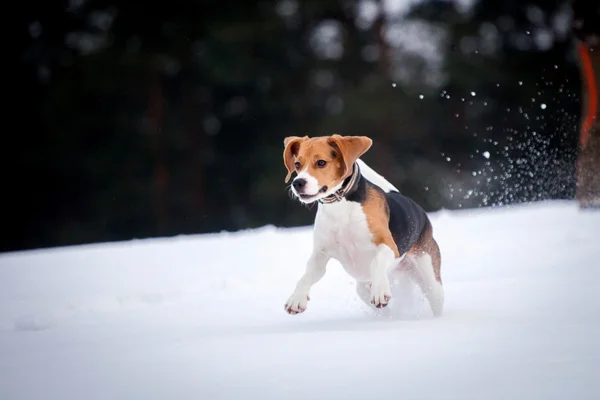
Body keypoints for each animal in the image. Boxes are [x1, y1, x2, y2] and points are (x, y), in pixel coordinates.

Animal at [284, 136, 442, 318]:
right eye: (297, 164)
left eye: (321, 162)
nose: (297, 183)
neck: (340, 204)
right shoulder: (320, 254)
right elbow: (307, 275)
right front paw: (297, 298)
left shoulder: (388, 244)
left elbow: (377, 262)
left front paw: (380, 290)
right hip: (363, 289)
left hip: (430, 277)